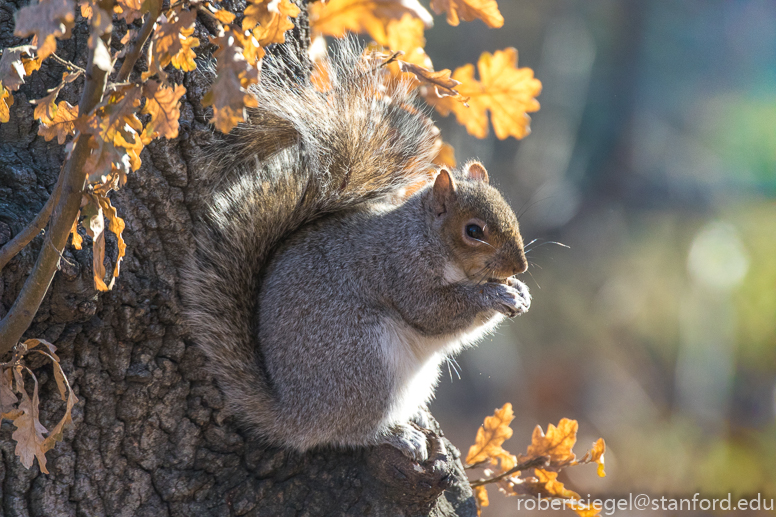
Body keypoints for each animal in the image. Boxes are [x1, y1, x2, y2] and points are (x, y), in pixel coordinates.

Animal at [183, 39, 532, 460]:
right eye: (473, 231)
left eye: (509, 211)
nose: (520, 266)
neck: (425, 237)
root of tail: (295, 415)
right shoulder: (401, 267)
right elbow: (433, 312)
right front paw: (496, 294)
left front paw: (520, 292)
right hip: (365, 360)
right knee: (350, 431)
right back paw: (397, 435)